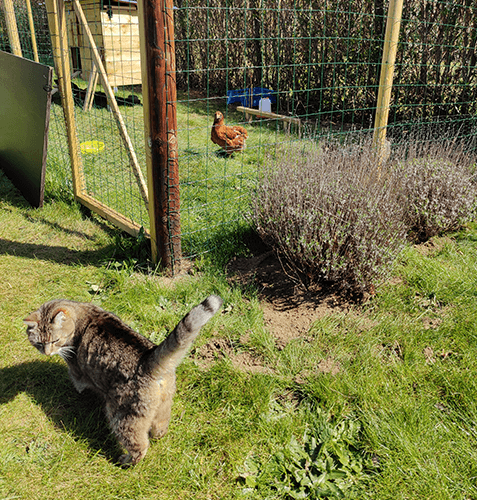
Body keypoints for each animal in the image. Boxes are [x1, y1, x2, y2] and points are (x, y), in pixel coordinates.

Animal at [23, 292, 221, 464]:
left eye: (54, 341)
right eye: (39, 343)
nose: (47, 353)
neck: (80, 313)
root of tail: (147, 359)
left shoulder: (76, 369)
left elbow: (79, 384)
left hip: (122, 417)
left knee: (139, 446)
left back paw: (126, 461)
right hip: (163, 406)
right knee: (160, 428)